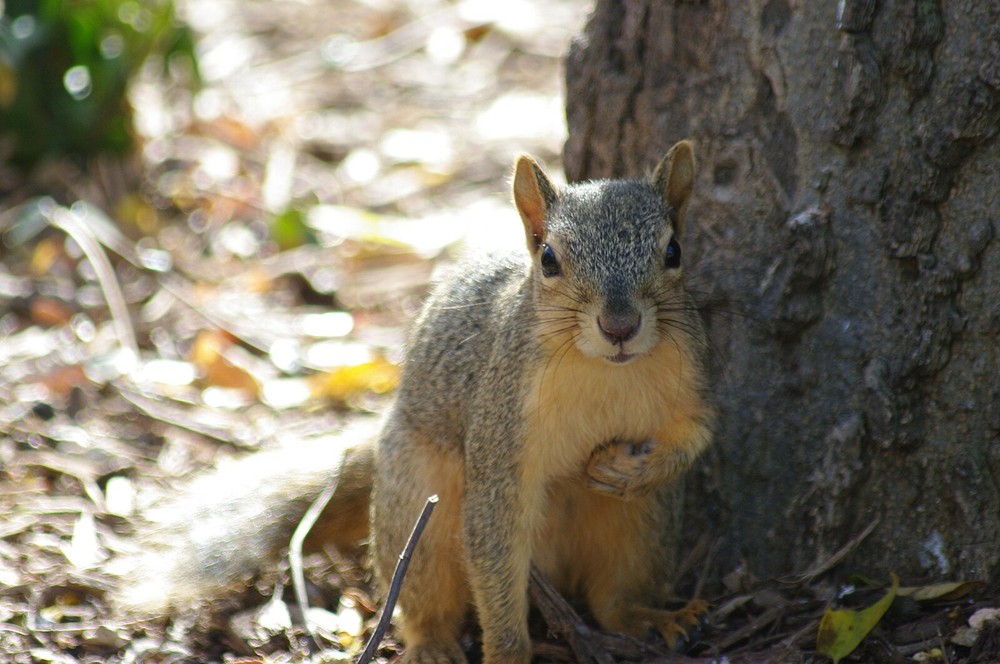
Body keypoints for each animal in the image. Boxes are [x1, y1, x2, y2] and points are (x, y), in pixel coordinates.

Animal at [117, 140, 715, 664]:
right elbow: (494, 545)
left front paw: (632, 468)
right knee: (425, 598)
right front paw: (506, 651)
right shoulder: (500, 422)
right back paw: (432, 643)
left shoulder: (692, 378)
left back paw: (652, 619)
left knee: (614, 598)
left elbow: (699, 434)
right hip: (419, 500)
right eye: (549, 259)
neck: (605, 370)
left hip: (643, 525)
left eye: (673, 251)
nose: (620, 326)